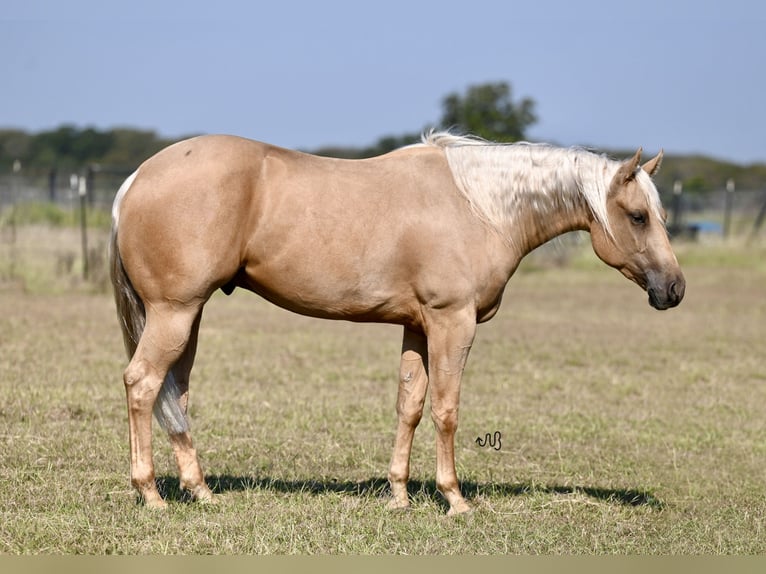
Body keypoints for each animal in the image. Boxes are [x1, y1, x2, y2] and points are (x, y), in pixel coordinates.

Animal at [111, 132, 688, 516]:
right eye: (639, 216)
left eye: (661, 216)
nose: (675, 289)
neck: (478, 207)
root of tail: (137, 179)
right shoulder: (453, 324)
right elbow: (446, 411)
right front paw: (455, 500)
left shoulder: (417, 327)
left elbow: (409, 406)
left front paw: (399, 495)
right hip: (174, 312)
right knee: (142, 384)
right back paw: (151, 494)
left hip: (189, 316)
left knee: (176, 393)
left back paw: (200, 489)